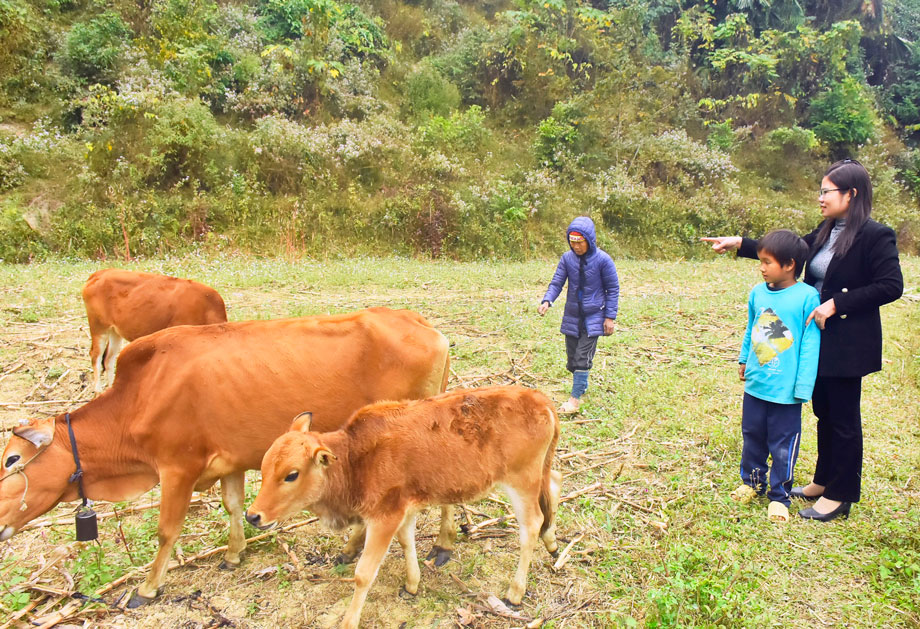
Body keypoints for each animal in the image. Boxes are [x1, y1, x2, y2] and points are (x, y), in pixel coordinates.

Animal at [0, 308, 452, 608]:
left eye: (11, 460)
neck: (140, 396)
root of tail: (424, 325)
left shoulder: (177, 469)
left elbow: (167, 531)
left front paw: (148, 587)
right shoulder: (230, 463)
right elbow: (234, 506)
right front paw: (234, 554)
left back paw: (441, 544)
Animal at [82, 269, 228, 392]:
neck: (207, 310)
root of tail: (97, 274)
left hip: (115, 332)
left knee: (108, 359)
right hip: (98, 327)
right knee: (95, 356)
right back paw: (98, 390)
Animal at [245, 385, 562, 629]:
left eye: (291, 474)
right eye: (264, 468)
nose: (252, 516)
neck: (354, 459)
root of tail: (540, 400)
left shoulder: (383, 517)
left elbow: (363, 574)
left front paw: (349, 620)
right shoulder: (402, 509)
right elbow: (407, 542)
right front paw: (412, 584)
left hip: (521, 480)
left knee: (532, 524)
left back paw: (515, 592)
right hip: (539, 473)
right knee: (555, 485)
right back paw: (552, 543)